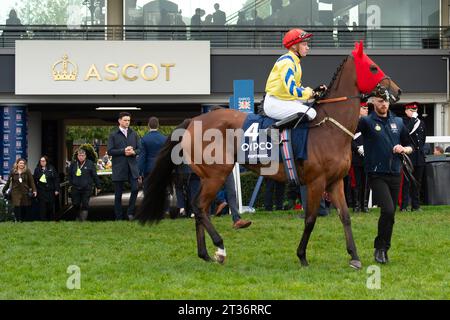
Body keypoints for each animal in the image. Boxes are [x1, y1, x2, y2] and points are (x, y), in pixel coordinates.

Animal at [136, 41, 400, 268]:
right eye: (373, 67)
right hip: (216, 174)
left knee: (197, 207)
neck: (329, 127)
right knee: (200, 207)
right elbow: (310, 219)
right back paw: (220, 248)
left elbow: (345, 217)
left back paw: (204, 254)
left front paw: (354, 256)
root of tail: (193, 121)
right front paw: (302, 256)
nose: (396, 91)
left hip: (206, 176)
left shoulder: (335, 182)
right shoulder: (316, 182)